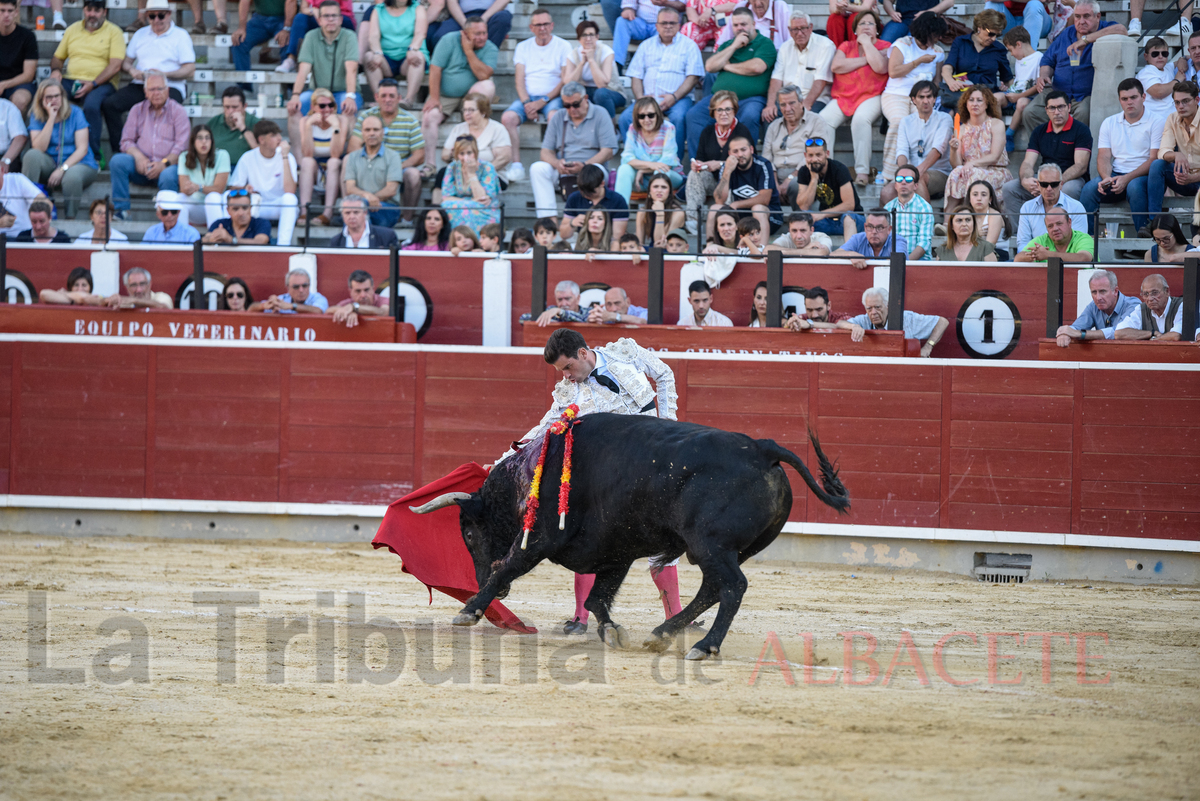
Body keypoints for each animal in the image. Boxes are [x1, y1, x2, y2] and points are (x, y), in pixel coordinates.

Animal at [415, 417, 854, 661]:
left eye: (468, 531)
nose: (475, 578)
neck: (533, 474)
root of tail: (763, 449)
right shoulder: (617, 551)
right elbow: (598, 597)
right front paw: (612, 631)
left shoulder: (540, 540)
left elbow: (508, 567)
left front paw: (470, 609)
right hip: (725, 550)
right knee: (712, 588)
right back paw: (661, 635)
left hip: (711, 545)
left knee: (732, 587)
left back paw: (703, 646)